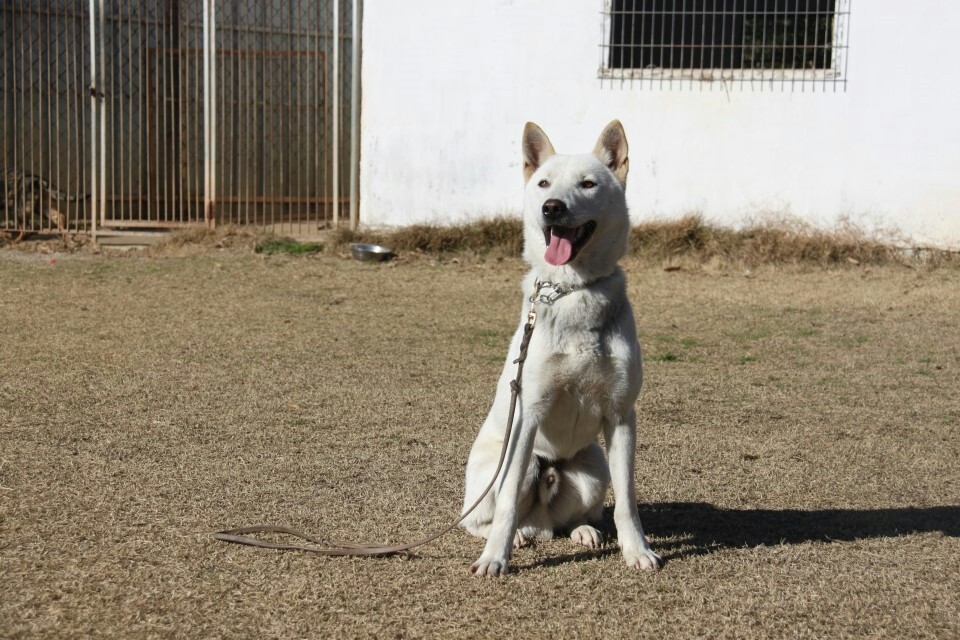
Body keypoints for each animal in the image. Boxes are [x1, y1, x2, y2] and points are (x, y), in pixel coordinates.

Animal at [462, 120, 664, 576]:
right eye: (543, 183)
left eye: (588, 184)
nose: (551, 207)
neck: (573, 289)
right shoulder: (527, 415)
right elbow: (505, 506)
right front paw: (495, 559)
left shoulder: (621, 415)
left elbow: (627, 501)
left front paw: (636, 550)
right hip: (503, 469)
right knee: (486, 517)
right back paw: (514, 537)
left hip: (593, 469)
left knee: (568, 520)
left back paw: (583, 532)